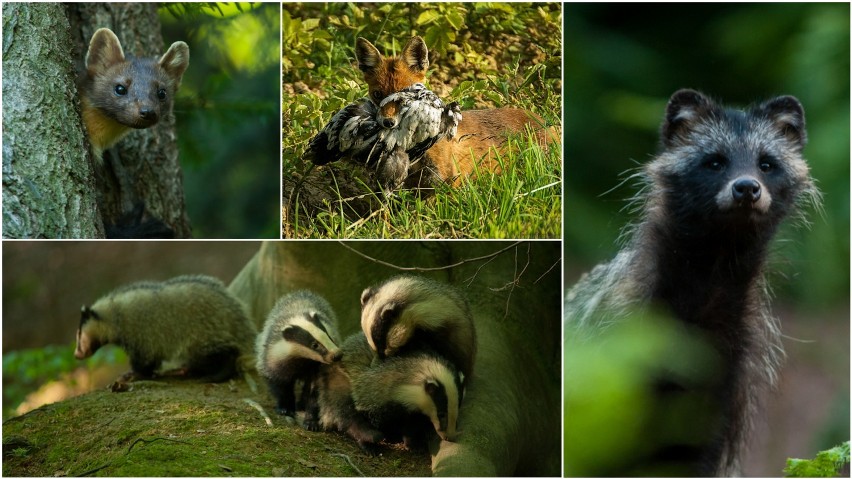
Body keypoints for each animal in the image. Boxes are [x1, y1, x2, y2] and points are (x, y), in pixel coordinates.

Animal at [564, 89, 820, 476]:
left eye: (766, 164)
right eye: (714, 162)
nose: (747, 188)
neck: (710, 272)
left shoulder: (727, 379)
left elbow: (697, 452)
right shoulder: (616, 345)